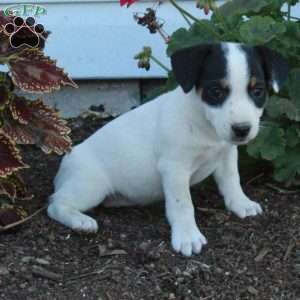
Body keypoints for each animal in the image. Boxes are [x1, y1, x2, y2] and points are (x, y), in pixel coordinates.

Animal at [48, 42, 288, 258]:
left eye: (258, 91)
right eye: (216, 91)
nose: (242, 129)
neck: (203, 123)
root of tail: (66, 162)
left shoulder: (226, 154)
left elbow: (232, 181)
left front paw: (241, 203)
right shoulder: (174, 169)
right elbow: (183, 204)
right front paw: (188, 236)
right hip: (90, 186)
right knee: (55, 203)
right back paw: (81, 221)